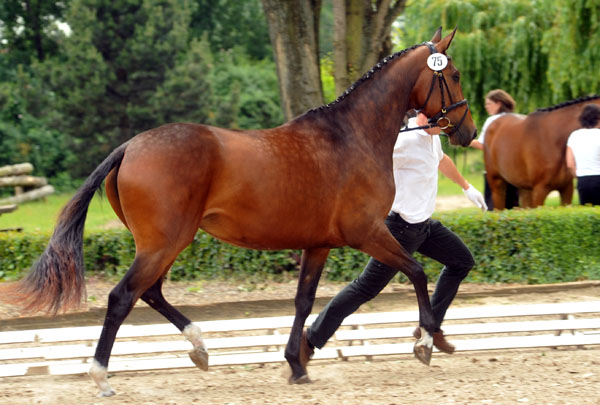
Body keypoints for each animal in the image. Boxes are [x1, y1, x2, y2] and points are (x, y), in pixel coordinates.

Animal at [2, 28, 476, 394]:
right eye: (453, 74)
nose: (468, 132)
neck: (351, 136)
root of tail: (130, 147)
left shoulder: (319, 244)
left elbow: (304, 301)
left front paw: (296, 365)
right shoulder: (367, 232)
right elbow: (416, 271)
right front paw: (426, 342)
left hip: (168, 242)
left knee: (150, 293)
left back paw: (199, 348)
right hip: (164, 242)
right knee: (124, 296)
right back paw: (102, 376)